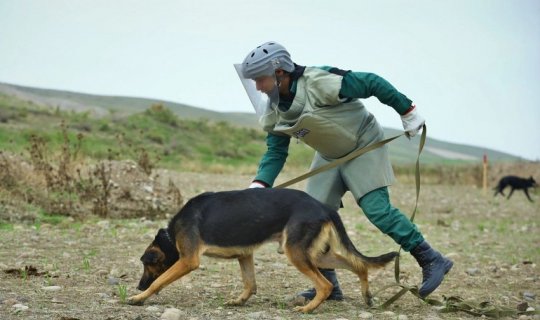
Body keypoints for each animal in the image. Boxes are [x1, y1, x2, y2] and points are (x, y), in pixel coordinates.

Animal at [126, 188, 396, 312]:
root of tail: (323, 207)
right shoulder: (245, 255)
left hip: (296, 253)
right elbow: (250, 283)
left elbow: (158, 281)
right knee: (359, 265)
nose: (138, 286)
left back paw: (308, 309)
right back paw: (367, 295)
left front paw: (140, 298)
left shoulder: (188, 260)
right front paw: (239, 300)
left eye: (146, 263)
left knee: (326, 284)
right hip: (318, 255)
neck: (171, 235)